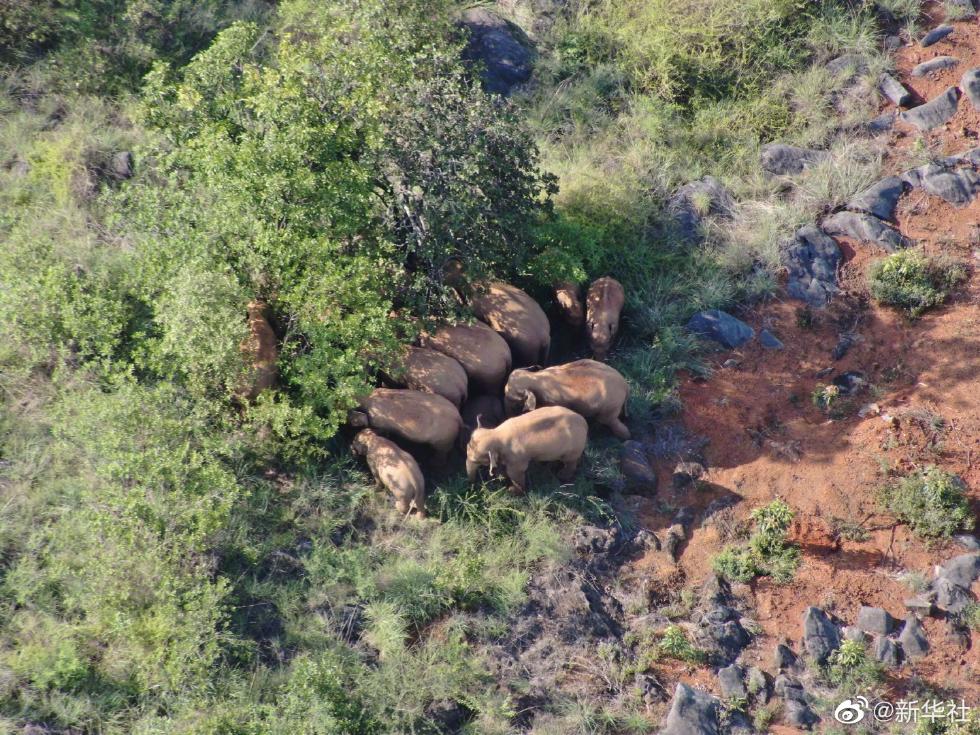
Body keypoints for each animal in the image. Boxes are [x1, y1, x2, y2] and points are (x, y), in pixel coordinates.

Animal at [502, 360, 632, 440]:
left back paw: (626, 437)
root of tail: (626, 386)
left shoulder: (552, 399)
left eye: (510, 397)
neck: (535, 376)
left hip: (610, 406)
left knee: (608, 420)